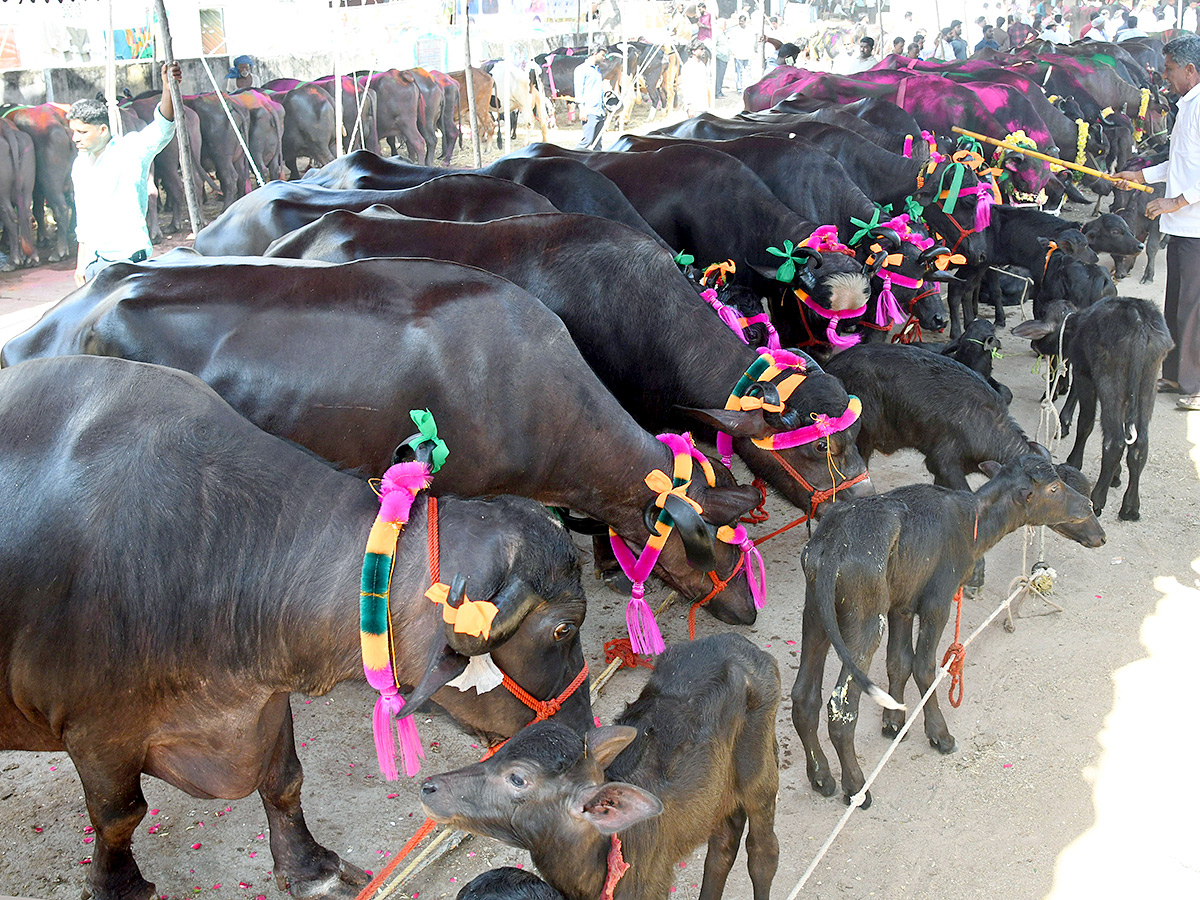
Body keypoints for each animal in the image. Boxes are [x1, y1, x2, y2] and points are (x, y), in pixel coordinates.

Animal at [422, 633, 777, 900]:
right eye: (503, 748)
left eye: (518, 779)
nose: (428, 787)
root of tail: (740, 643)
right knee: (722, 844)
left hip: (761, 776)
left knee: (763, 852)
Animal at [792, 458, 1099, 811]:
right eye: (1054, 488)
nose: (1090, 508)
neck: (972, 524)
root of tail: (829, 547)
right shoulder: (937, 600)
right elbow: (925, 667)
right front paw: (940, 734)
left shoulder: (903, 604)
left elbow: (899, 662)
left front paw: (894, 722)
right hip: (865, 618)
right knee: (841, 708)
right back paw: (855, 787)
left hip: (815, 615)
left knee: (804, 697)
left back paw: (821, 777)